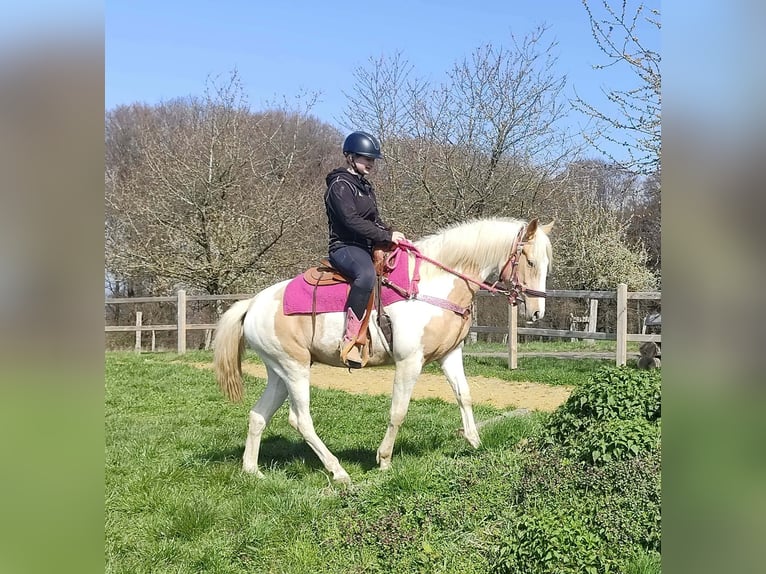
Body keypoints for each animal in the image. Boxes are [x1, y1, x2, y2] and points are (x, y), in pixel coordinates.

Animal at [213, 217, 553, 484]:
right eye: (530, 262)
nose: (537, 312)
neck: (430, 285)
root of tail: (252, 303)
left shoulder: (449, 355)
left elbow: (464, 395)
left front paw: (474, 442)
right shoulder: (410, 362)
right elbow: (398, 411)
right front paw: (385, 459)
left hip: (279, 373)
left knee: (258, 415)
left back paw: (252, 471)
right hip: (294, 370)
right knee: (301, 420)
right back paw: (338, 471)